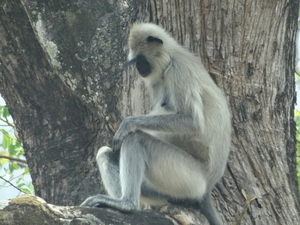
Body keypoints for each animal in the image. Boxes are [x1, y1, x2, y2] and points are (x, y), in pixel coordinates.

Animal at [81, 22, 231, 225]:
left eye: (141, 60)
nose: (139, 68)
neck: (172, 56)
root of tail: (208, 187)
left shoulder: (178, 69)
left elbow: (191, 121)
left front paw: (127, 124)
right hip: (165, 190)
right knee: (106, 152)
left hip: (189, 178)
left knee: (136, 139)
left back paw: (127, 204)